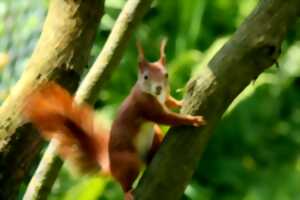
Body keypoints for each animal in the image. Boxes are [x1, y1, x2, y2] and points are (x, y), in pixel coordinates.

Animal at [23, 39, 205, 199]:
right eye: (145, 77)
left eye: (166, 75)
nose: (159, 88)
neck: (153, 95)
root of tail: (110, 167)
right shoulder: (145, 105)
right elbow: (166, 118)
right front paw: (193, 119)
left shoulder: (163, 97)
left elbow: (169, 102)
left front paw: (180, 102)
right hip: (129, 161)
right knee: (125, 182)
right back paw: (128, 193)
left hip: (153, 137)